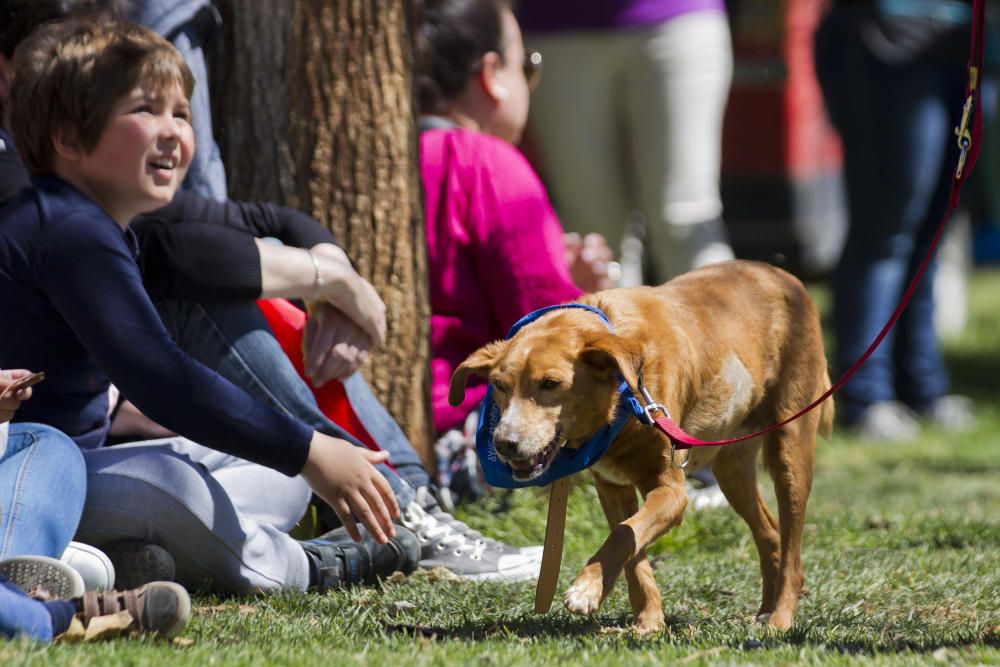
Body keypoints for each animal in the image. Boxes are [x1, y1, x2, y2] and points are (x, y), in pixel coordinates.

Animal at [450, 260, 832, 632]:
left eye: (550, 383)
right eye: (499, 385)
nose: (503, 444)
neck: (624, 396)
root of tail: (782, 275)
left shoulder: (672, 491)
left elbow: (625, 533)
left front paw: (587, 588)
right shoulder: (612, 488)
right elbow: (633, 549)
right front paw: (648, 620)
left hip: (790, 450)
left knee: (793, 550)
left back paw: (781, 618)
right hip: (731, 466)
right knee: (769, 532)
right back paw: (765, 610)